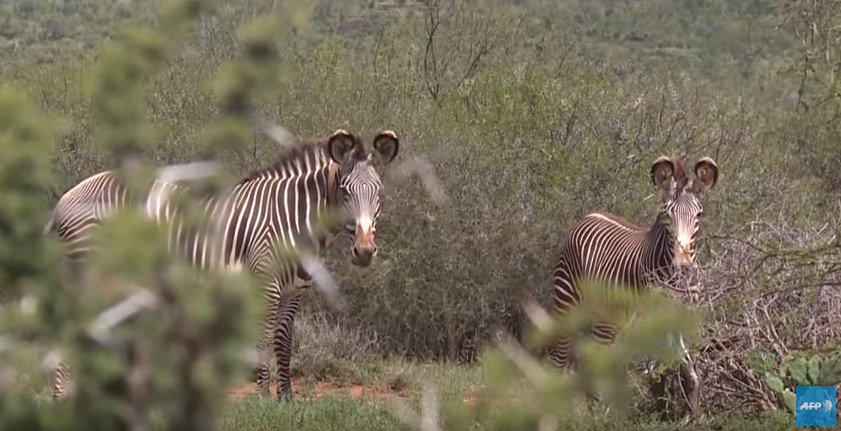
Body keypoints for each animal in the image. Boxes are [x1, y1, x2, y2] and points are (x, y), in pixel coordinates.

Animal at [45, 129, 400, 400]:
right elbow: (262, 339)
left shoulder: (294, 292)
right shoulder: (265, 284)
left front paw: (286, 399)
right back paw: (64, 400)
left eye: (379, 194)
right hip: (90, 270)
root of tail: (67, 196)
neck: (296, 220)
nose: (365, 251)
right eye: (344, 192)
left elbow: (284, 342)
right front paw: (263, 398)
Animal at [548, 155, 718, 415]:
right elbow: (657, 370)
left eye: (699, 215)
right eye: (667, 215)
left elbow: (686, 369)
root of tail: (590, 215)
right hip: (570, 301)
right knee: (562, 354)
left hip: (607, 316)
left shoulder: (677, 318)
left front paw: (689, 412)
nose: (683, 267)